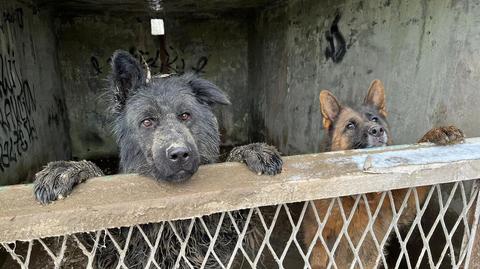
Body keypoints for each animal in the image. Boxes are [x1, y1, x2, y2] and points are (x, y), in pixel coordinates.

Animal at [33, 49, 282, 266]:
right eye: (147, 121)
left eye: (185, 115)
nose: (179, 154)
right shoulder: (115, 250)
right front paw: (70, 169)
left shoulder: (220, 239)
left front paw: (250, 150)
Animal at [304, 80, 464, 268]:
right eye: (350, 125)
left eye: (374, 118)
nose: (377, 130)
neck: (364, 196)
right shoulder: (323, 234)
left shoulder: (402, 204)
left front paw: (437, 132)